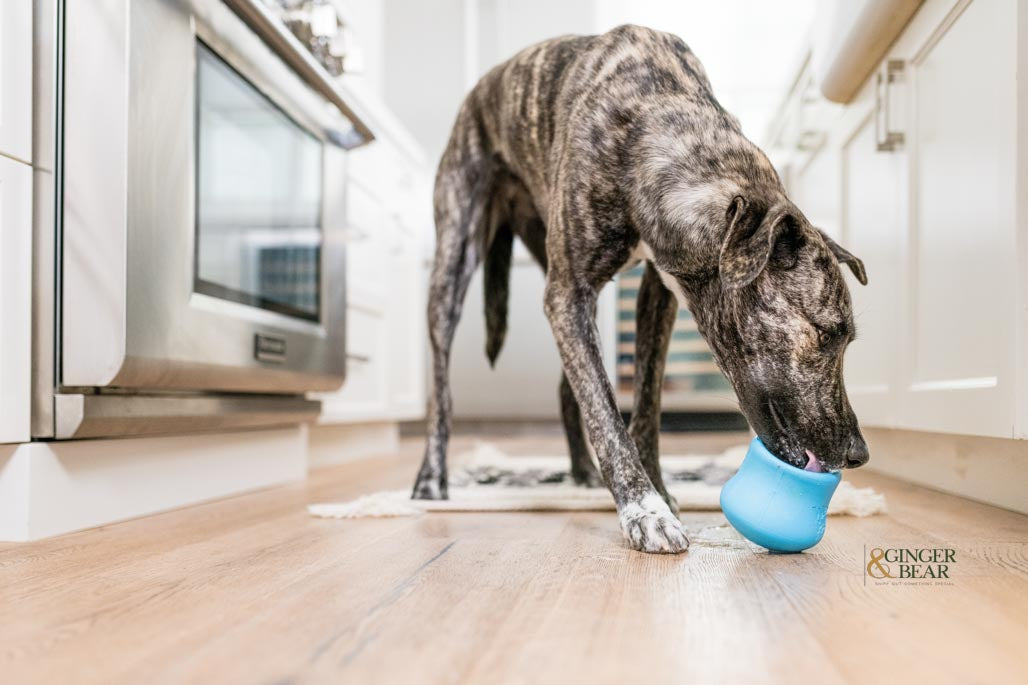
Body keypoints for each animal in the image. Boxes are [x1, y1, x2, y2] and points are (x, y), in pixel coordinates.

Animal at [409, 24, 867, 551]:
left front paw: (660, 491)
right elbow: (606, 412)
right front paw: (643, 507)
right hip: (454, 261)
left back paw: (582, 473)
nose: (859, 453)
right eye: (827, 334)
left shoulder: (657, 292)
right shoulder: (568, 292)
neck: (653, 125)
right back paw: (431, 478)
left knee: (570, 387)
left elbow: (644, 399)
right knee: (443, 387)